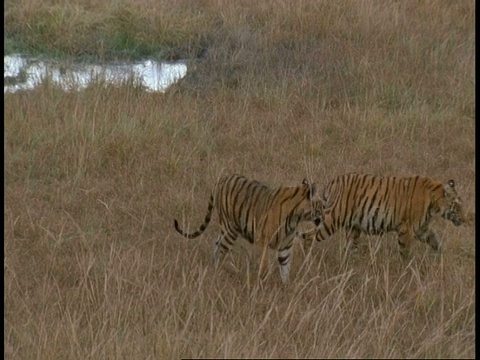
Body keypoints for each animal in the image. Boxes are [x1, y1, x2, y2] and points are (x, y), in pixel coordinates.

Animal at [172, 174, 322, 284]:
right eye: (321, 205)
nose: (324, 215)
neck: (296, 216)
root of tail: (222, 179)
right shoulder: (263, 241)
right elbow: (264, 264)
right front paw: (261, 283)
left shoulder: (285, 246)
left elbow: (285, 267)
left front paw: (286, 287)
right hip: (230, 229)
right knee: (221, 249)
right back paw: (218, 271)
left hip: (226, 229)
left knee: (216, 243)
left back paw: (213, 266)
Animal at [304, 173, 464, 258]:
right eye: (457, 205)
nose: (464, 219)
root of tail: (332, 182)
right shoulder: (407, 228)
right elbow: (405, 251)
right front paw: (406, 269)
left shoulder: (422, 229)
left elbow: (436, 242)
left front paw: (444, 258)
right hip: (332, 220)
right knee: (308, 236)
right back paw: (307, 261)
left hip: (353, 228)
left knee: (349, 248)